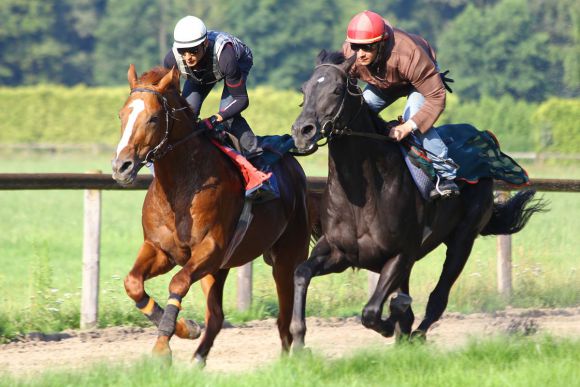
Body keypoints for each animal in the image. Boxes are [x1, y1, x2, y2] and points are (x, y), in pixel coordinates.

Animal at [111, 65, 314, 366]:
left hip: (287, 255)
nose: (121, 166)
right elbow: (133, 283)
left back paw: (290, 356)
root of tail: (293, 165)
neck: (180, 189)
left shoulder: (210, 248)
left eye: (153, 118)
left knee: (285, 313)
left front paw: (162, 348)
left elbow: (178, 282)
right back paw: (198, 358)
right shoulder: (161, 249)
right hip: (218, 269)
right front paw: (186, 328)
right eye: (122, 114)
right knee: (217, 317)